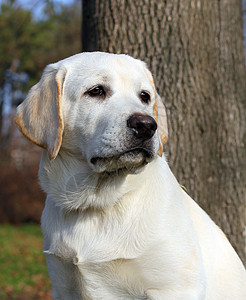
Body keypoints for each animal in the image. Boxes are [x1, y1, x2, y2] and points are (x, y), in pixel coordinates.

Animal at [15, 52, 246, 298]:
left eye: (144, 96)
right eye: (96, 91)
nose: (147, 125)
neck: (96, 203)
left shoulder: (175, 287)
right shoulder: (63, 287)